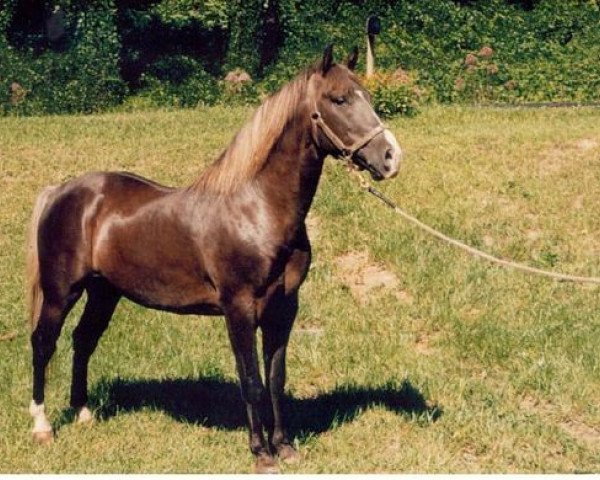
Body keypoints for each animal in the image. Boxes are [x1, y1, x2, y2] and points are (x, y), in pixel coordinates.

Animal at [25, 45, 400, 472]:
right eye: (339, 99)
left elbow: (276, 378)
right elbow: (251, 382)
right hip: (62, 292)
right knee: (43, 342)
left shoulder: (284, 308)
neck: (257, 208)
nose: (391, 157)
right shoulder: (239, 308)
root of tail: (62, 191)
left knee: (83, 340)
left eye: (367, 96)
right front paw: (261, 454)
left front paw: (285, 446)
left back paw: (84, 413)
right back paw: (42, 426)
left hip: (104, 292)